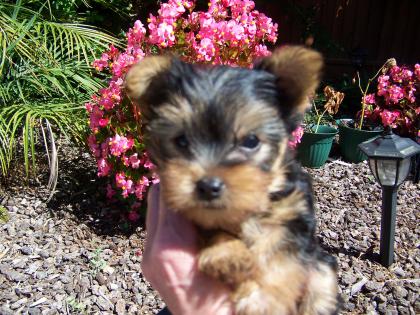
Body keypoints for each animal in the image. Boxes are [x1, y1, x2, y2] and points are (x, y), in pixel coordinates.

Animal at [124, 47, 338, 315]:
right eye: (182, 140)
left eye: (251, 141)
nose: (208, 187)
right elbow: (214, 229)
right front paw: (227, 256)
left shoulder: (294, 218)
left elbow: (277, 251)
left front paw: (262, 299)